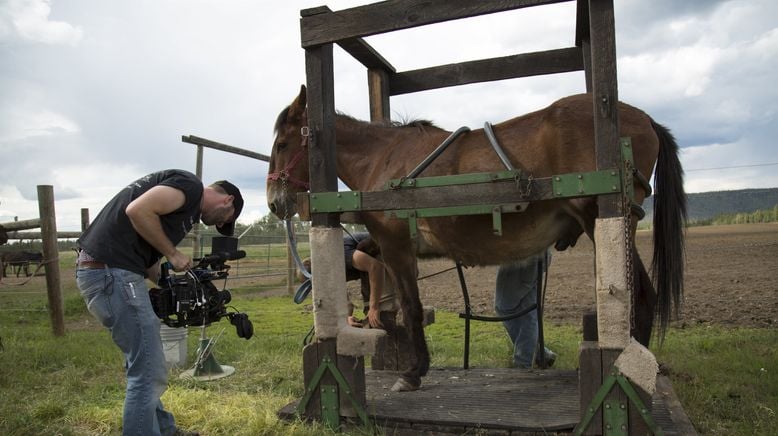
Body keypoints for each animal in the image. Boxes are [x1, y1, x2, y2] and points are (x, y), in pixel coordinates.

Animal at [268, 86, 684, 392]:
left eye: (283, 145)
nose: (274, 201)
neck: (383, 160)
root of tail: (645, 118)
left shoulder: (397, 247)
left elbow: (412, 308)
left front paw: (414, 373)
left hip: (604, 220)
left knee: (643, 296)